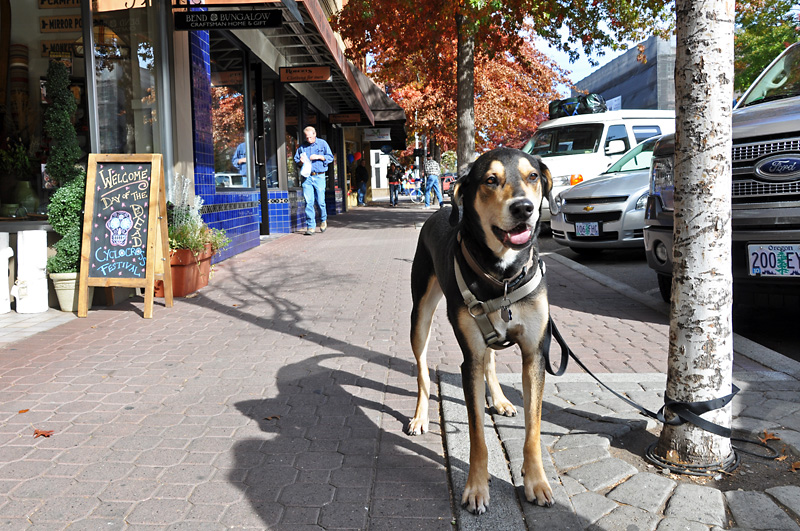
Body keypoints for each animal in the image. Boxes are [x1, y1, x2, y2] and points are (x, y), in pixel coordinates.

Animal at [410, 148, 552, 512]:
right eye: (490, 179)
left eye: (533, 176)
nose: (523, 208)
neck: (502, 275)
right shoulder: (469, 360)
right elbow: (477, 433)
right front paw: (476, 487)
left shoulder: (534, 354)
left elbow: (533, 429)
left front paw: (536, 481)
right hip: (420, 316)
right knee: (422, 371)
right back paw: (419, 416)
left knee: (492, 359)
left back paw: (500, 400)